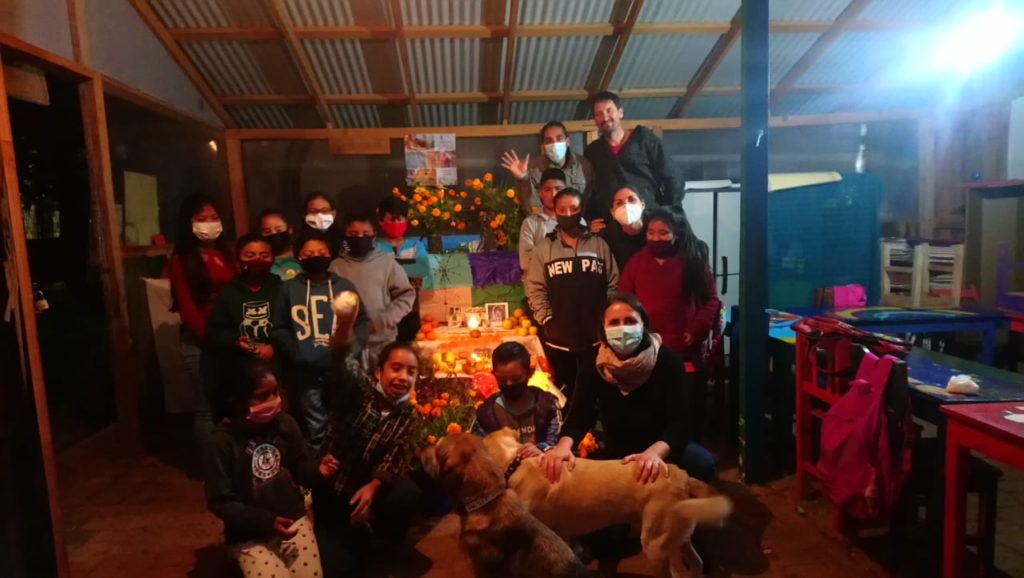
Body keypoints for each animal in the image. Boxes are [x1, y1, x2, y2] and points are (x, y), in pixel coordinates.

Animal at [482, 428, 732, 578]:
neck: (516, 463)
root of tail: (683, 476)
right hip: (677, 537)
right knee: (697, 563)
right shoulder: (562, 534)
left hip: (654, 545)